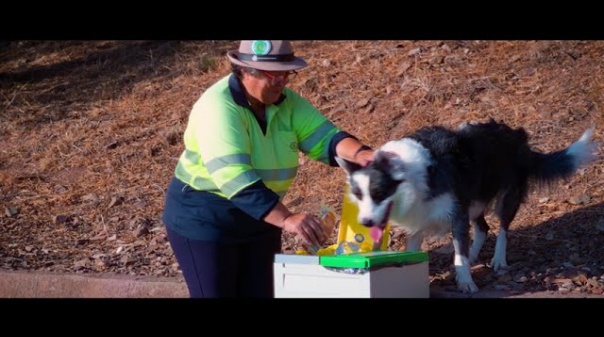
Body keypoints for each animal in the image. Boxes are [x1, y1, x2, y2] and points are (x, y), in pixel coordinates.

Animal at [338, 119, 596, 292]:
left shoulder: (457, 215)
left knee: (502, 228)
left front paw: (465, 281)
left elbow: (458, 254)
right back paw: (474, 255)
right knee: (483, 228)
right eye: (358, 195)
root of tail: (518, 138)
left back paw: (498, 259)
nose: (365, 222)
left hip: (504, 199)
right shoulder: (420, 222)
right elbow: (420, 251)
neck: (412, 175)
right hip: (473, 202)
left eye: (379, 193)